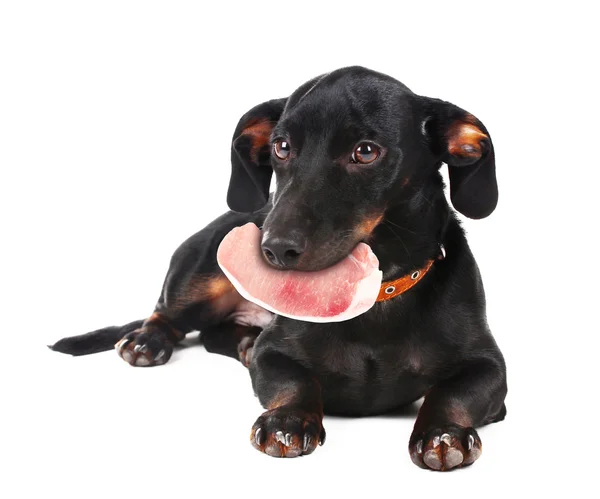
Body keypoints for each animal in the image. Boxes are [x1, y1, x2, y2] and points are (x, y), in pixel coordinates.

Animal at [51, 67, 506, 472]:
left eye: (366, 151)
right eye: (282, 146)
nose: (272, 248)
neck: (376, 297)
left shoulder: (491, 370)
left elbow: (453, 393)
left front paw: (444, 432)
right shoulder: (275, 355)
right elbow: (294, 382)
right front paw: (288, 420)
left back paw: (242, 342)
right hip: (198, 276)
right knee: (168, 315)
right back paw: (149, 340)